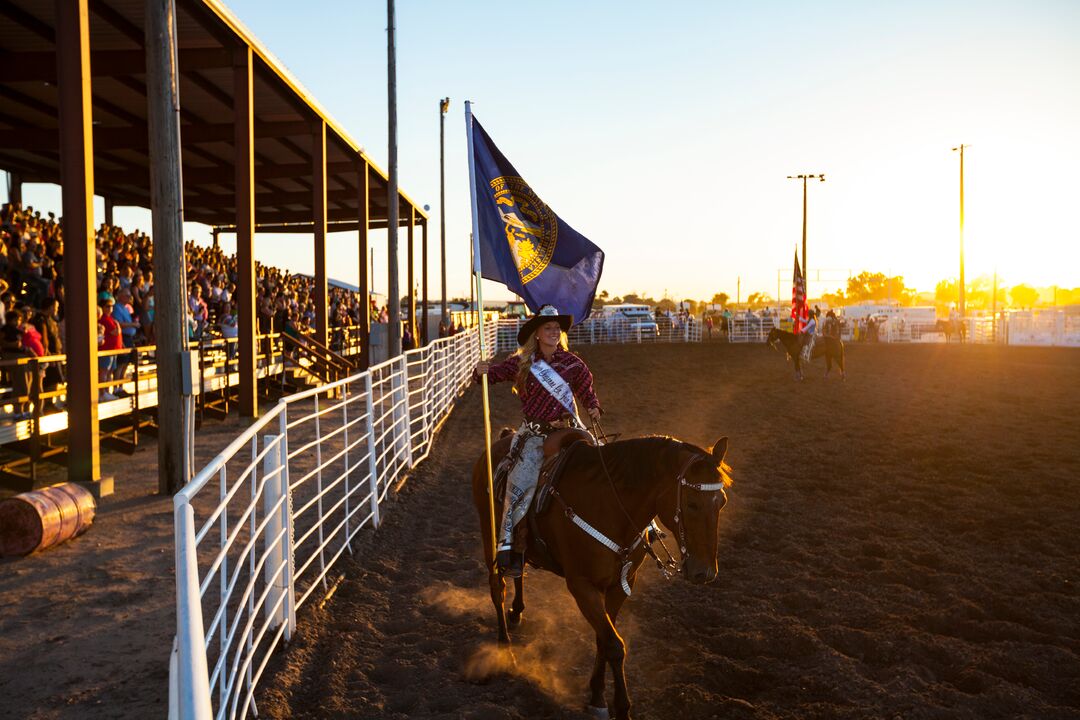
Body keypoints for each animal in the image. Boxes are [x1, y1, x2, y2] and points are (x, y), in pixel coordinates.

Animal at [468, 431, 730, 716]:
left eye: (722, 502)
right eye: (691, 504)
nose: (705, 572)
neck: (611, 508)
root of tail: (500, 440)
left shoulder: (621, 584)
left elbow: (603, 639)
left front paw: (596, 695)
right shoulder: (582, 586)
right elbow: (614, 645)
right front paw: (620, 707)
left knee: (519, 573)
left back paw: (517, 611)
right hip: (489, 535)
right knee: (497, 588)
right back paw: (505, 649)